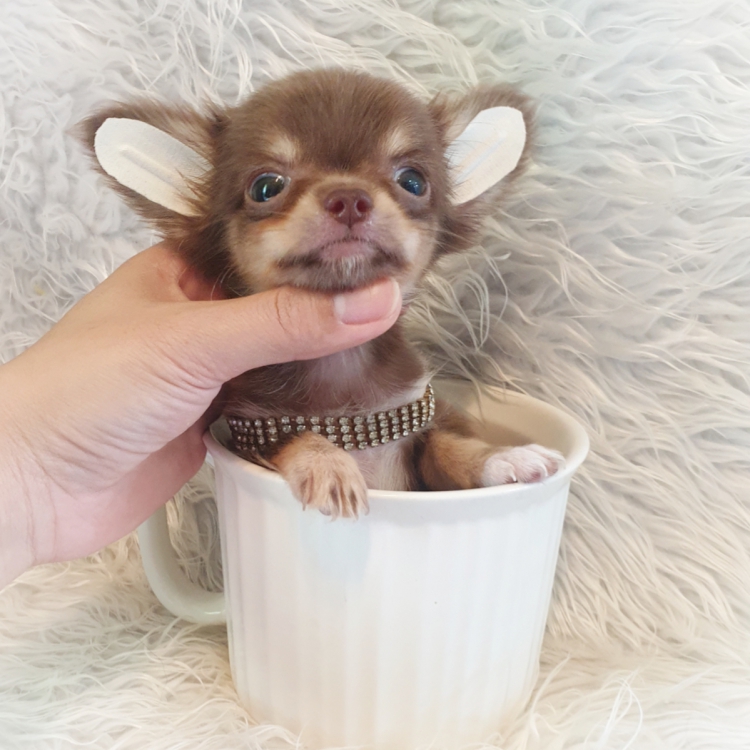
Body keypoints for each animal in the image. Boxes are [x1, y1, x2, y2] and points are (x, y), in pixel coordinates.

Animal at [80, 69, 563, 518]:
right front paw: (327, 465)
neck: (339, 364)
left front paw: (506, 458)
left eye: (413, 181)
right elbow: (297, 437)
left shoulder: (420, 434)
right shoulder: (255, 433)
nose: (348, 197)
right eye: (265, 187)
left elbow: (449, 447)